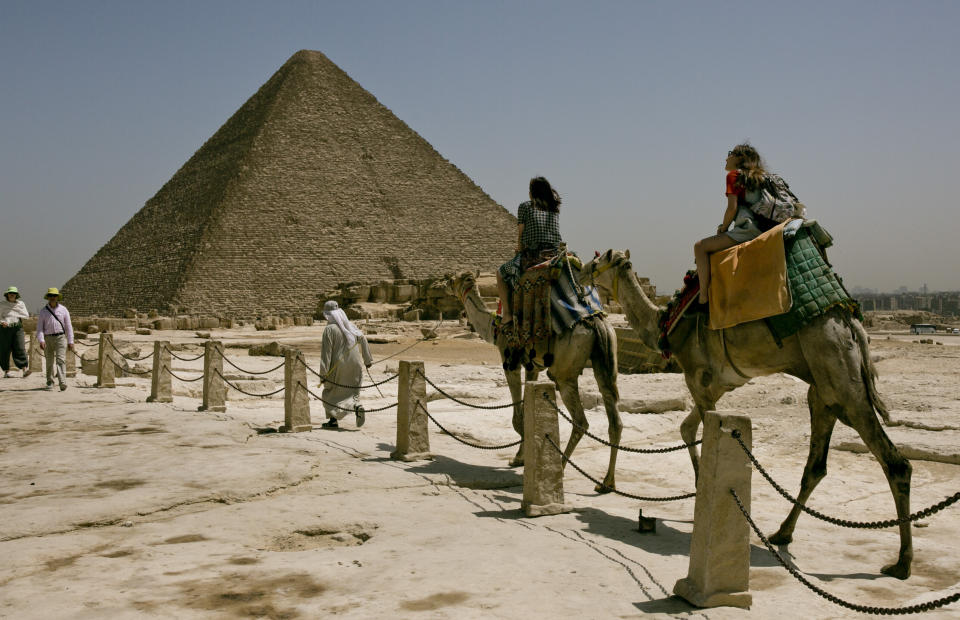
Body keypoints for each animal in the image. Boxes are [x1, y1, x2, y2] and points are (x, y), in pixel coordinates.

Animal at [444, 270, 624, 490]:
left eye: (452, 280)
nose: (442, 284)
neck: (495, 328)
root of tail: (596, 323)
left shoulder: (510, 362)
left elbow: (517, 417)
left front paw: (520, 458)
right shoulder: (533, 367)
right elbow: (526, 410)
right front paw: (520, 457)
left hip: (564, 373)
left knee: (580, 420)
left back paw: (560, 467)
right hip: (606, 359)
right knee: (614, 418)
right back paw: (607, 483)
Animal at [580, 249, 912, 580]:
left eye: (598, 262)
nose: (581, 272)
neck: (666, 324)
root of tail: (853, 325)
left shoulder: (697, 376)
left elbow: (702, 431)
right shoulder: (716, 385)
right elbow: (687, 429)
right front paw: (699, 492)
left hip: (839, 373)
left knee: (896, 463)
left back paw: (902, 563)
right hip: (823, 390)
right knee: (816, 465)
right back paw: (782, 533)